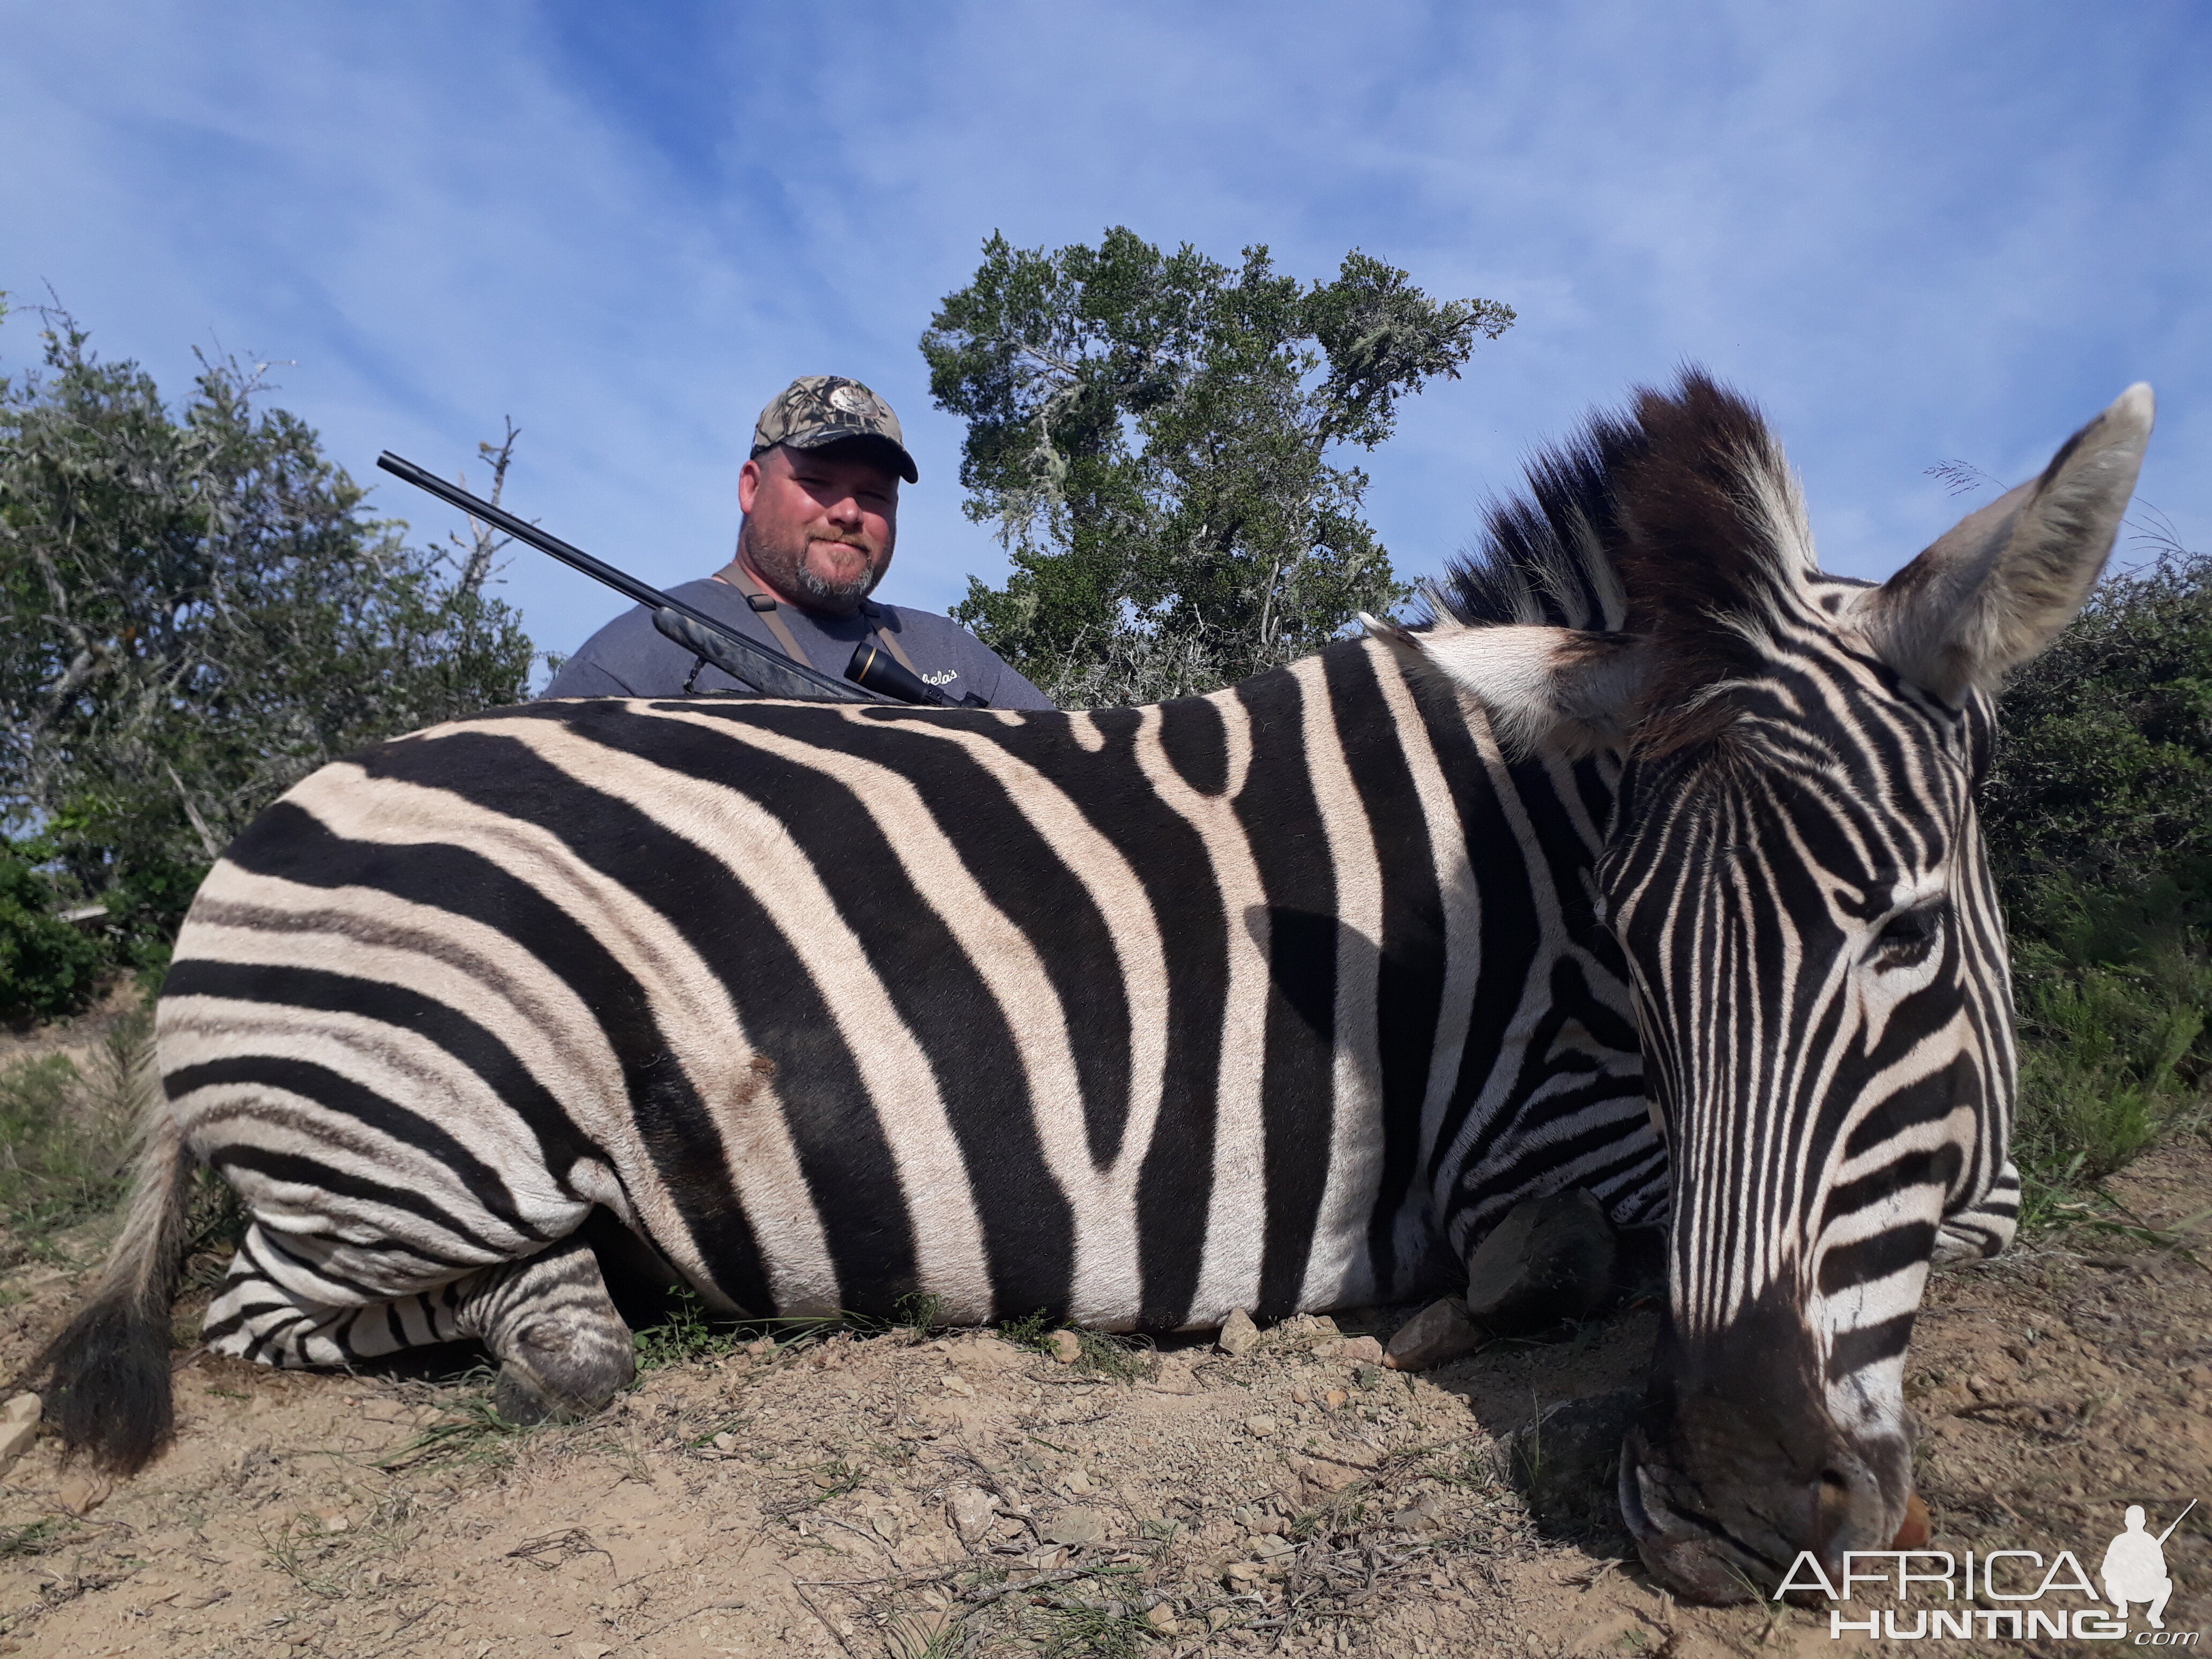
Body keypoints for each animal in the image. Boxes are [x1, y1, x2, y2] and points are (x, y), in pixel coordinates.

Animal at [30, 369, 2141, 1601]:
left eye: (1901, 930)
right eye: (1627, 959)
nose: (1727, 1514)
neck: (1520, 859)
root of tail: (258, 830)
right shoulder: (1526, 1124)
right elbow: (1618, 1240)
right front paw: (1449, 1311)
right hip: (416, 1140)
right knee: (289, 1313)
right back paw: (573, 1320)